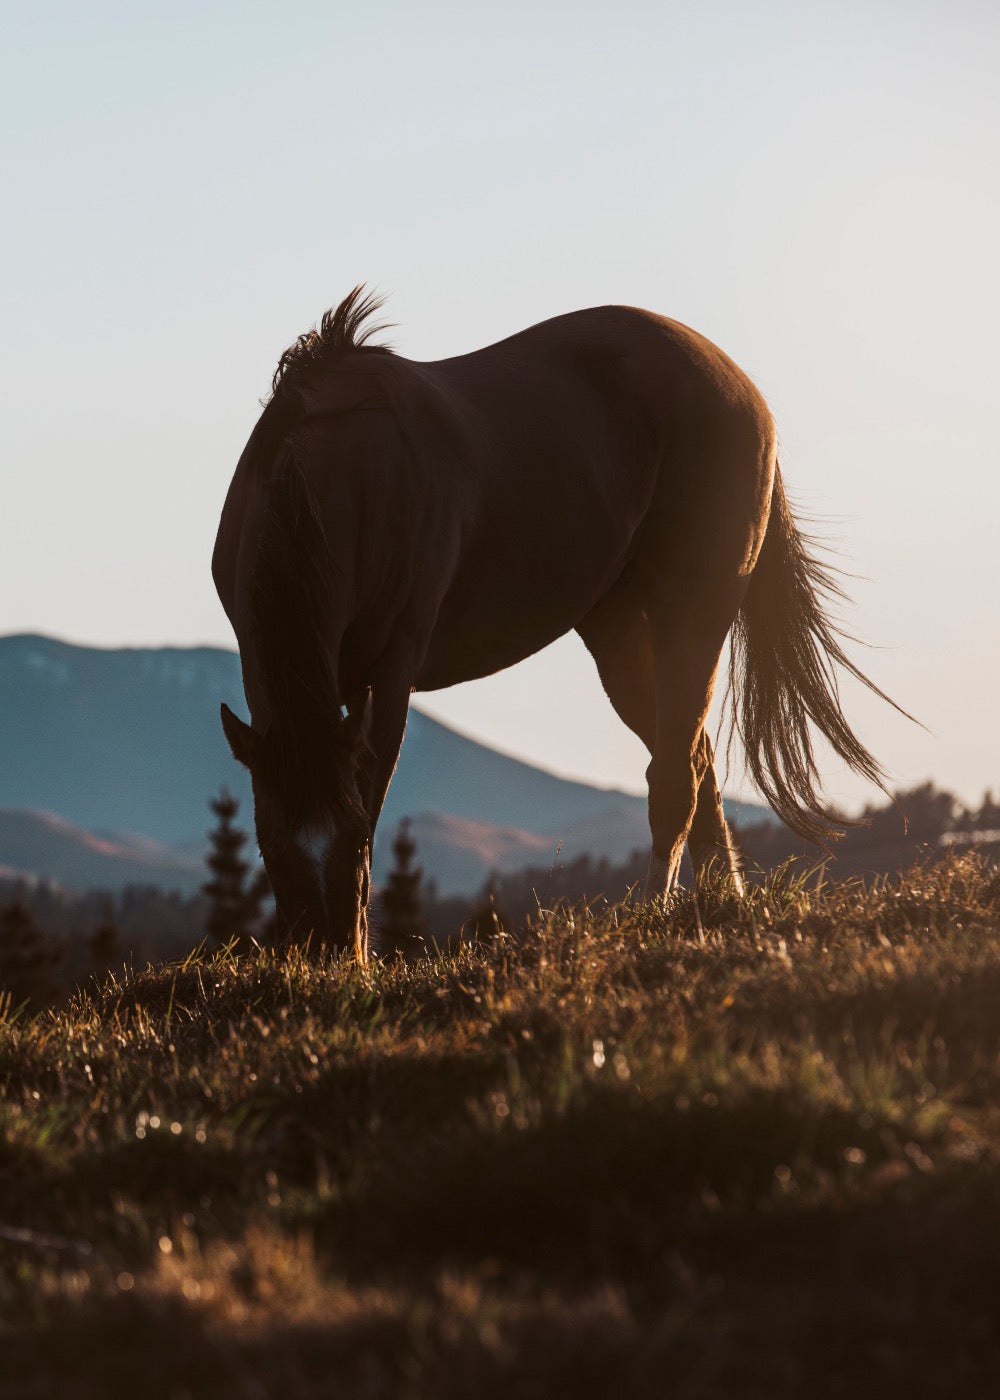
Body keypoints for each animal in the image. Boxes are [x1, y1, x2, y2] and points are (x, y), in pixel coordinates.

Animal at [213, 287, 902, 959]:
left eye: (354, 838)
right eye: (270, 847)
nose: (324, 957)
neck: (341, 470)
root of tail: (739, 385)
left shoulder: (393, 671)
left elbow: (375, 789)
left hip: (694, 608)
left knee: (676, 772)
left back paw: (656, 914)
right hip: (615, 629)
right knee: (694, 754)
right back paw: (720, 903)